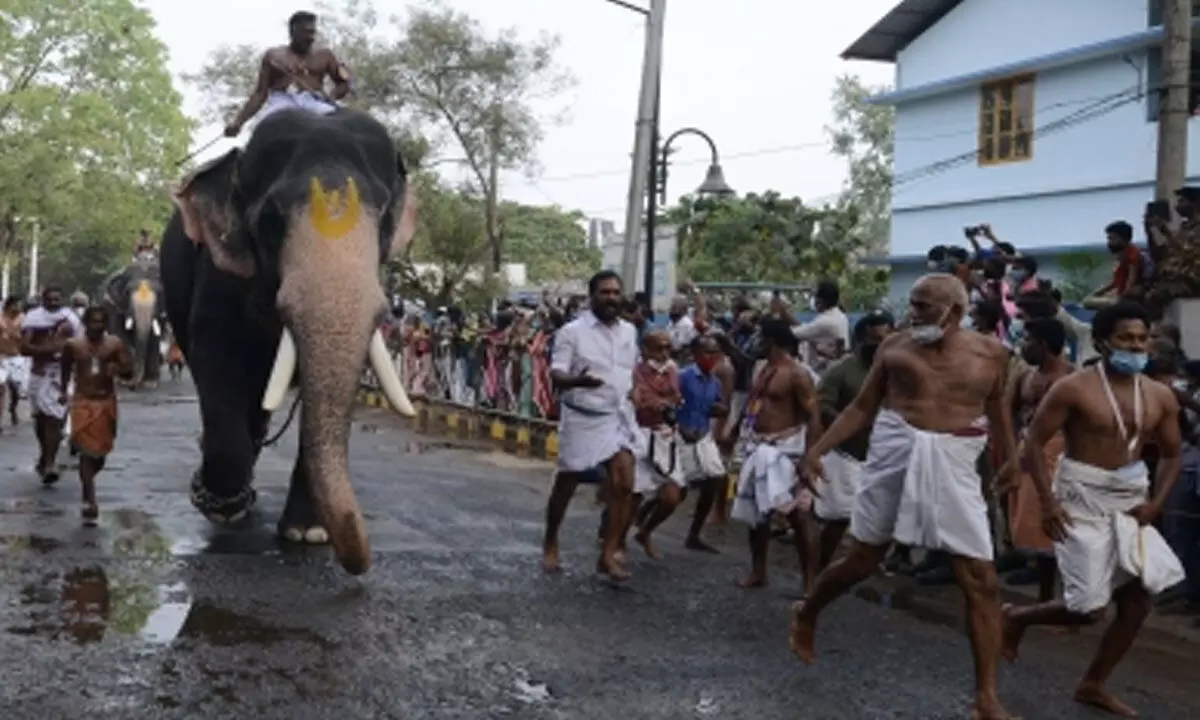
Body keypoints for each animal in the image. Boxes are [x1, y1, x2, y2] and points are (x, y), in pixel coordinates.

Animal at [99, 256, 168, 388]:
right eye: (127, 292)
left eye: (160, 293)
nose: (132, 385)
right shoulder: (114, 307)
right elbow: (119, 334)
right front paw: (123, 379)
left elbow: (154, 337)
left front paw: (150, 383)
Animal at [162, 106, 417, 576]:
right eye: (270, 217)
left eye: (385, 215)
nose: (360, 565)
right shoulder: (220, 270)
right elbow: (217, 358)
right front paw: (220, 506)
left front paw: (308, 534)